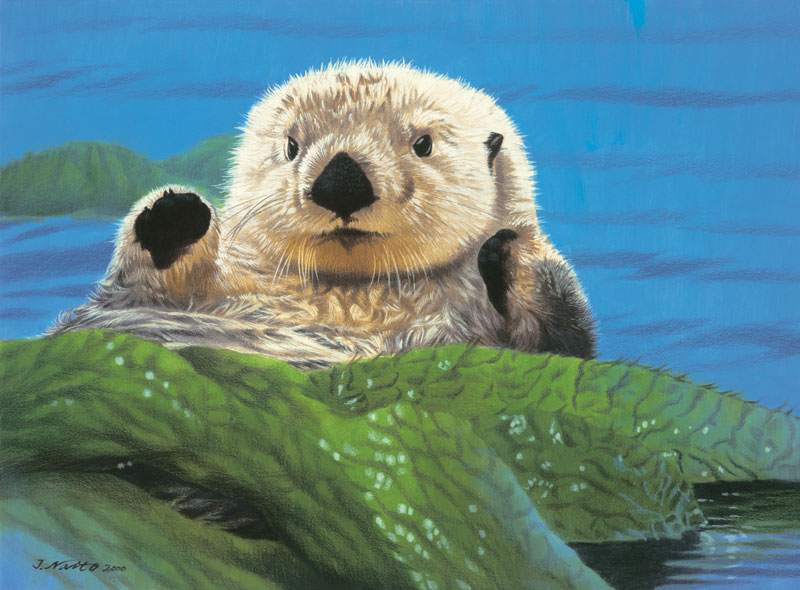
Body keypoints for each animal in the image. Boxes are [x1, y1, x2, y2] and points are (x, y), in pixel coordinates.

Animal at [53, 61, 596, 368]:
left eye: (423, 144)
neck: (354, 293)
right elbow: (134, 289)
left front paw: (515, 253)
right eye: (292, 146)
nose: (341, 182)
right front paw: (174, 215)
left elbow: (563, 345)